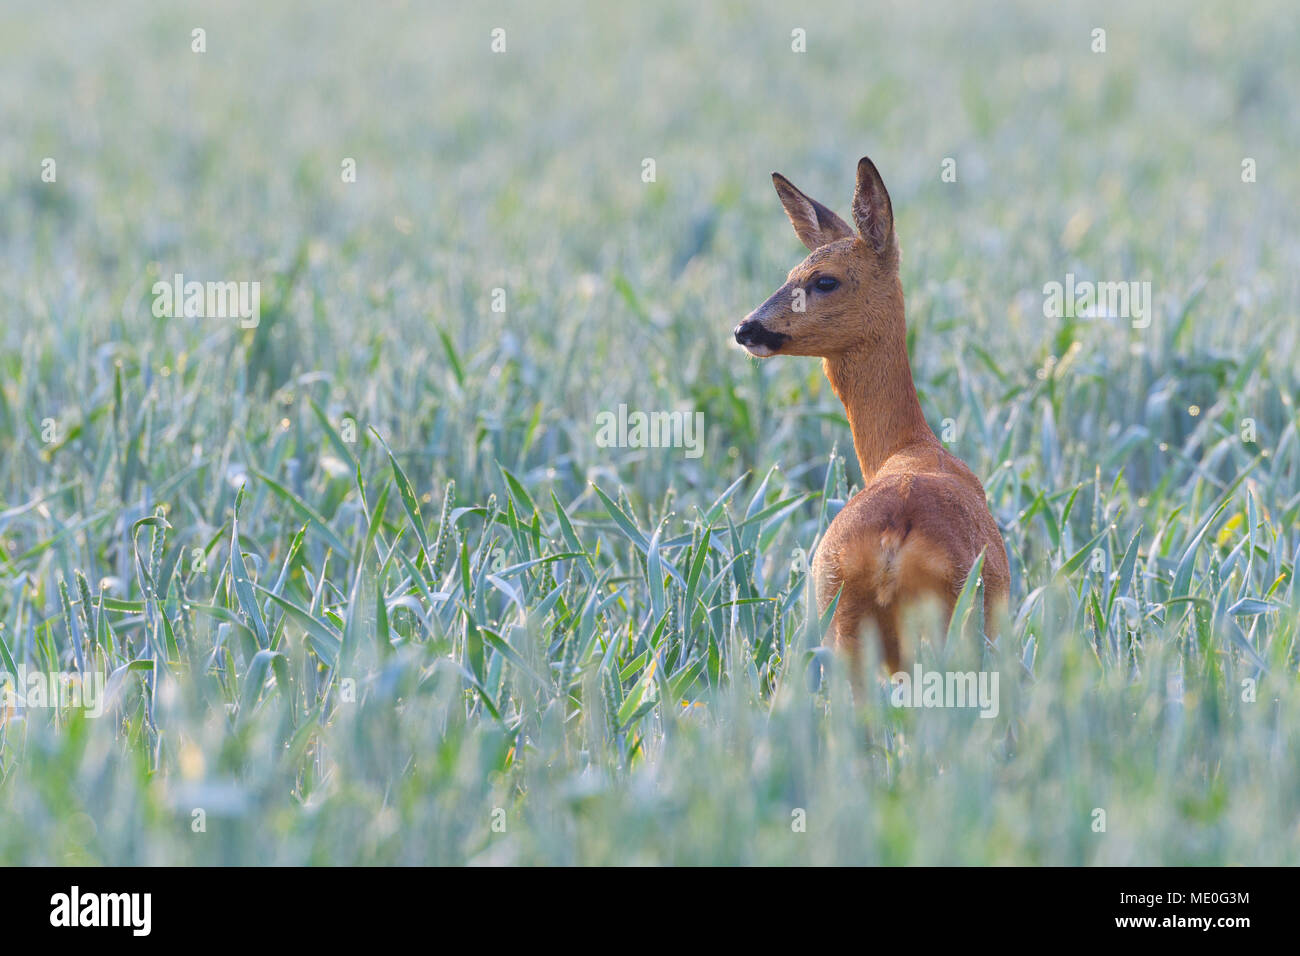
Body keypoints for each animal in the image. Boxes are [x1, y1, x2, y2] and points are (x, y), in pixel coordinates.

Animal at [733, 157, 1003, 676]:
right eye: (790, 273)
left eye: (823, 279)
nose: (745, 328)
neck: (909, 446)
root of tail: (892, 541)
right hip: (954, 624)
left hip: (837, 616)